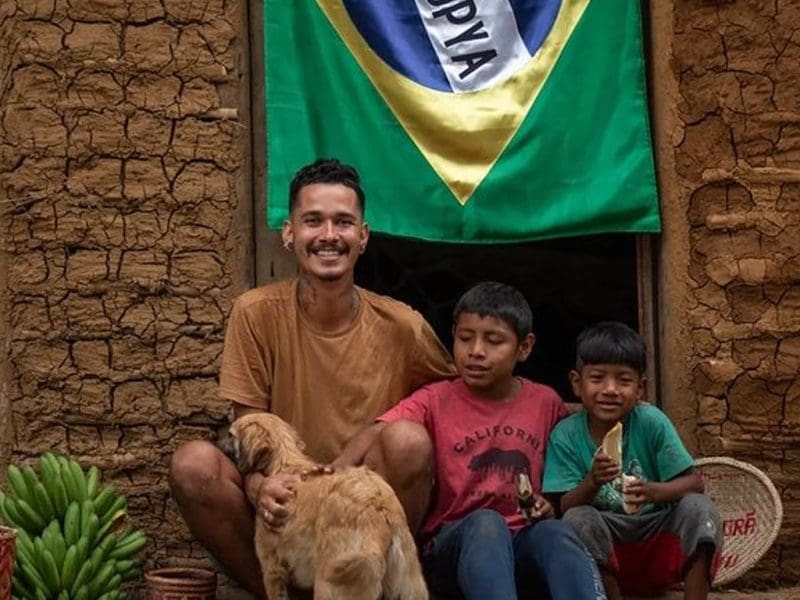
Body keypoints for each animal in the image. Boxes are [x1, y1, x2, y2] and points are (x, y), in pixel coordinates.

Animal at [228, 412, 428, 600]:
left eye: (230, 435)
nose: (221, 442)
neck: (284, 462)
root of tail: (378, 506)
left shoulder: (272, 568)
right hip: (409, 584)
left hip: (330, 583)